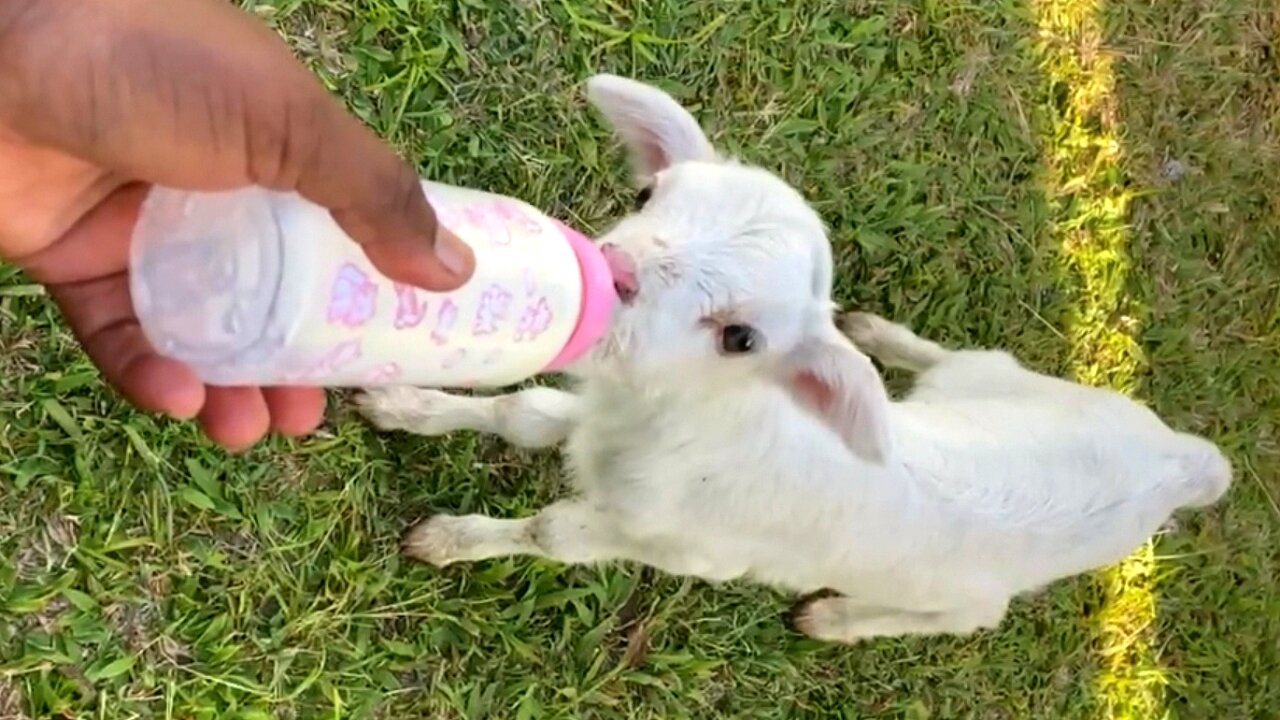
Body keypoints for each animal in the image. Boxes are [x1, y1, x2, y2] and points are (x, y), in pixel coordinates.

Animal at [355, 75, 1233, 640]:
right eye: (646, 196)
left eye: (740, 338)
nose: (611, 275)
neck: (686, 423)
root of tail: (1182, 461)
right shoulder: (609, 417)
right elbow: (525, 412)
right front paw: (403, 405)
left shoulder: (682, 542)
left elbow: (551, 534)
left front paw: (449, 541)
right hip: (1004, 383)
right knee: (951, 363)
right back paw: (872, 335)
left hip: (966, 593)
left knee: (965, 618)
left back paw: (835, 618)